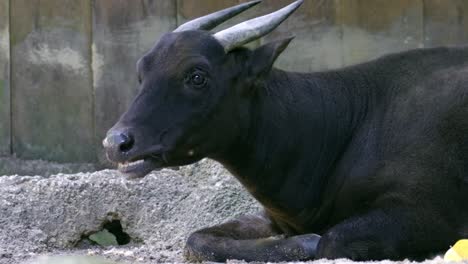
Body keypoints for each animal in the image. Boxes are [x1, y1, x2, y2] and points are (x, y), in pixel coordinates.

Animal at [102, 0, 468, 262]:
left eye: (197, 76)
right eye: (142, 72)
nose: (116, 142)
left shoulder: (426, 213)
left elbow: (330, 241)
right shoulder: (272, 218)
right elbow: (197, 238)